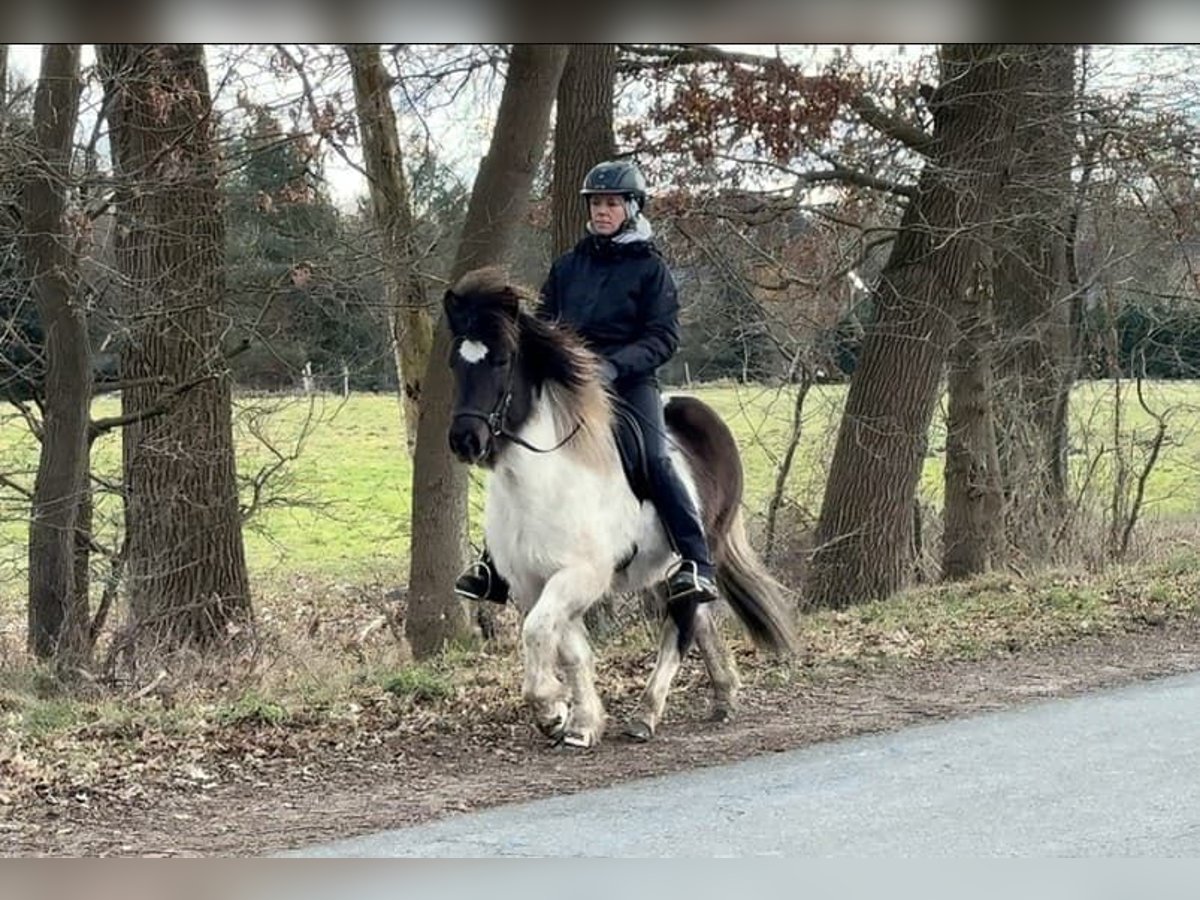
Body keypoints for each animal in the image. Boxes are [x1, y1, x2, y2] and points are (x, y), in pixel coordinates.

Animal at [441, 271, 796, 748]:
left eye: (502, 360)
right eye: (455, 362)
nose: (465, 440)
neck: (543, 482)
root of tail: (706, 417)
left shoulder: (582, 574)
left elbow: (537, 631)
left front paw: (550, 706)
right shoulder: (532, 582)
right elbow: (568, 647)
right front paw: (579, 722)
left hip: (700, 551)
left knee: (681, 627)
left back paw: (647, 714)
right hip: (664, 570)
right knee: (698, 617)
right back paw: (723, 694)